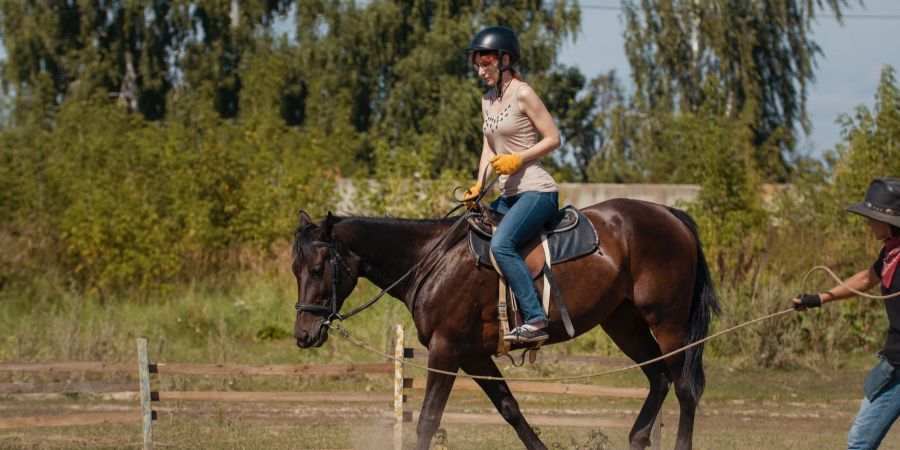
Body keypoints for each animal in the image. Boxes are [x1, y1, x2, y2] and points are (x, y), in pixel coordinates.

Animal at [292, 200, 720, 450]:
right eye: (296, 269)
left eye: (317, 269)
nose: (303, 334)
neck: (432, 259)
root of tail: (670, 216)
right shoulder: (475, 356)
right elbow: (511, 409)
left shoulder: (446, 351)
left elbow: (427, 420)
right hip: (624, 322)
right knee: (659, 378)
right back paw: (637, 437)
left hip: (667, 323)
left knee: (684, 388)